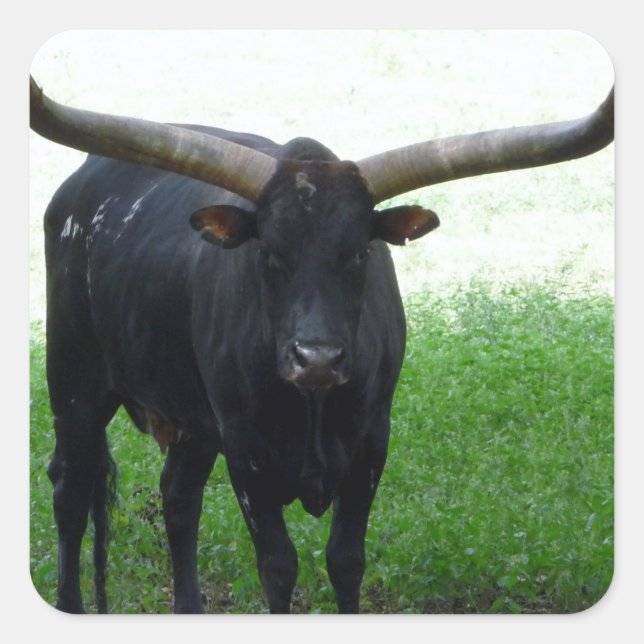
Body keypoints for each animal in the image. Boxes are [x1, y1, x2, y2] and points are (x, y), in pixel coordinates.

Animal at [30, 76, 614, 614]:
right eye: (268, 253)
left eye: (359, 254)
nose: (316, 360)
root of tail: (78, 183)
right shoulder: (245, 451)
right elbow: (278, 565)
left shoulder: (372, 443)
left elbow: (346, 560)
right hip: (74, 380)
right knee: (71, 487)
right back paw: (70, 603)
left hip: (189, 414)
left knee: (178, 497)